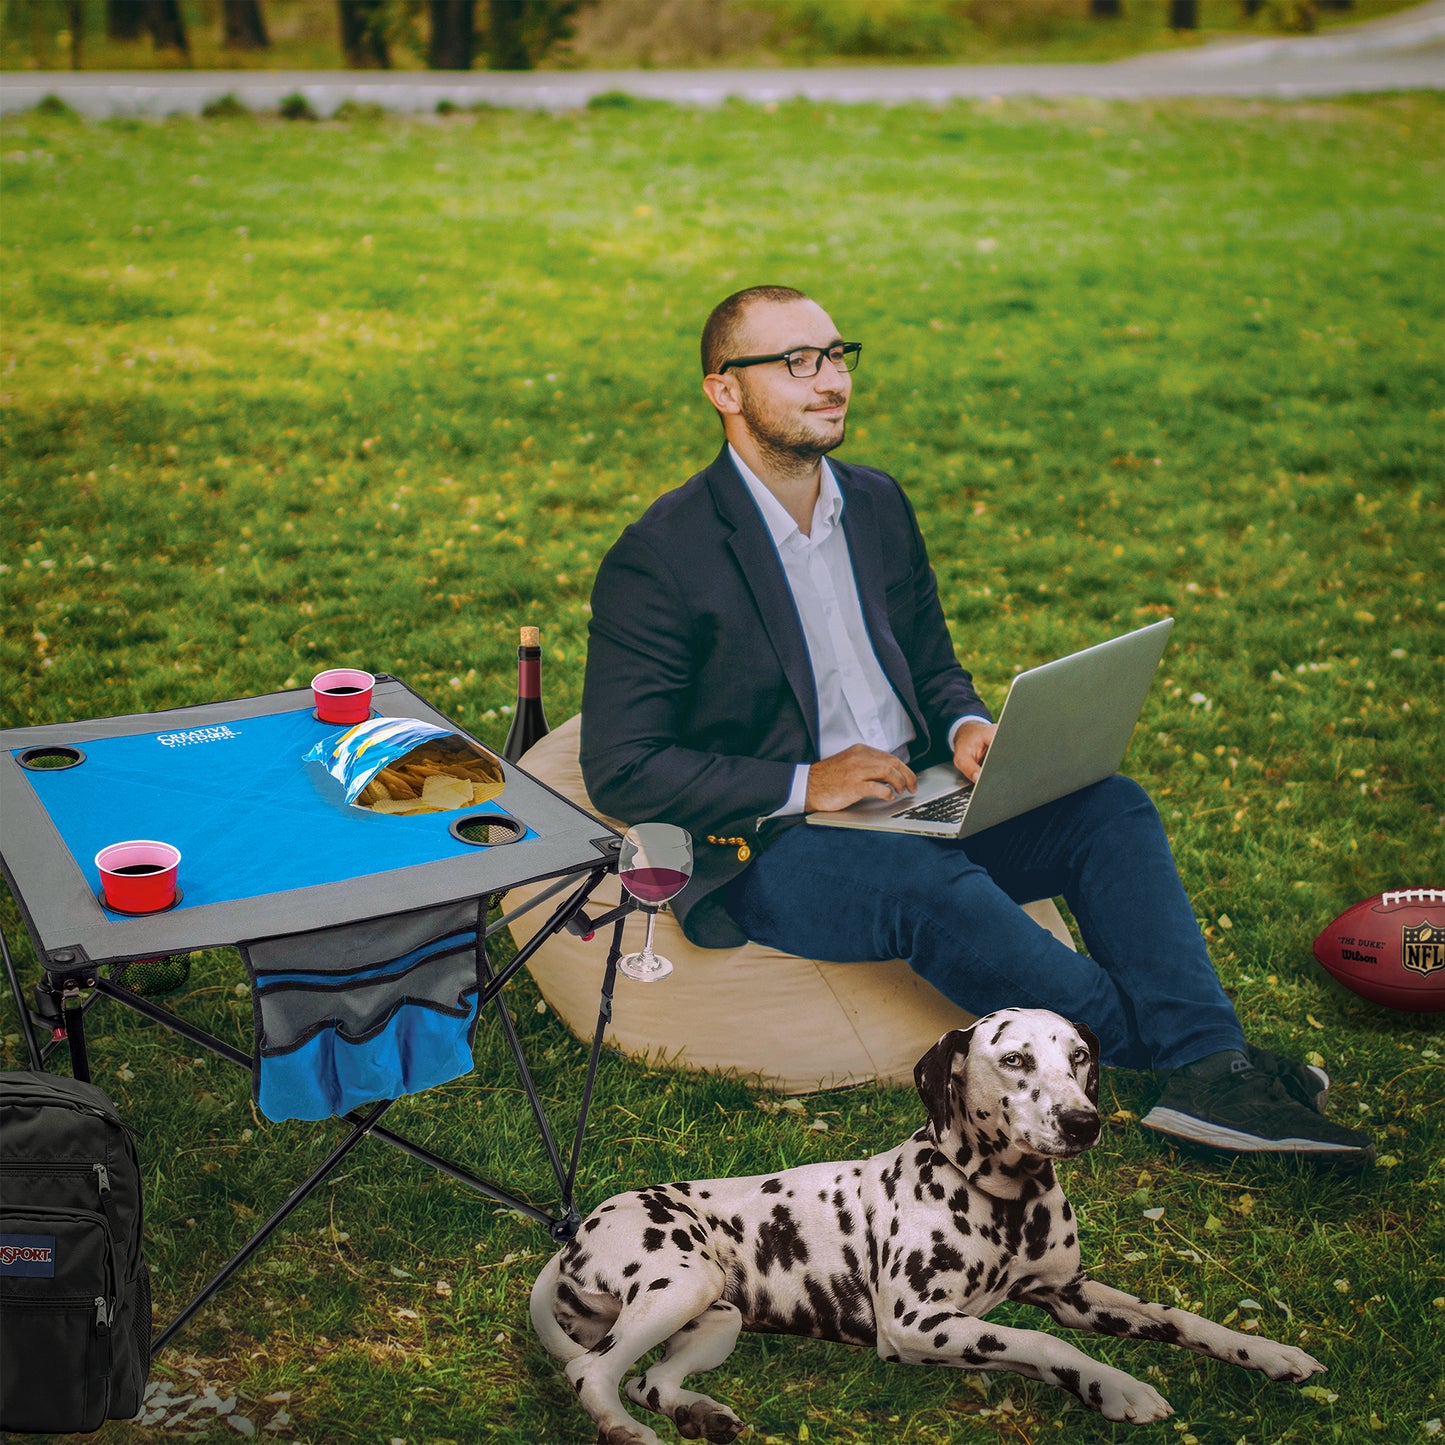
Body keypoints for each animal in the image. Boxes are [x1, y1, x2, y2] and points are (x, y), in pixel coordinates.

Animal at [531, 1011, 1323, 1439]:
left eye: (1079, 1056)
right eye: (1014, 1058)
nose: (1082, 1121)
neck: (1004, 1203)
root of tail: (575, 1234)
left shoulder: (1073, 1294)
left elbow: (1179, 1317)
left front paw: (1271, 1352)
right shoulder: (919, 1323)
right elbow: (1041, 1343)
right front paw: (1113, 1387)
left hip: (715, 1318)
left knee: (647, 1380)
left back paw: (696, 1413)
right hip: (680, 1283)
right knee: (593, 1372)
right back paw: (624, 1431)